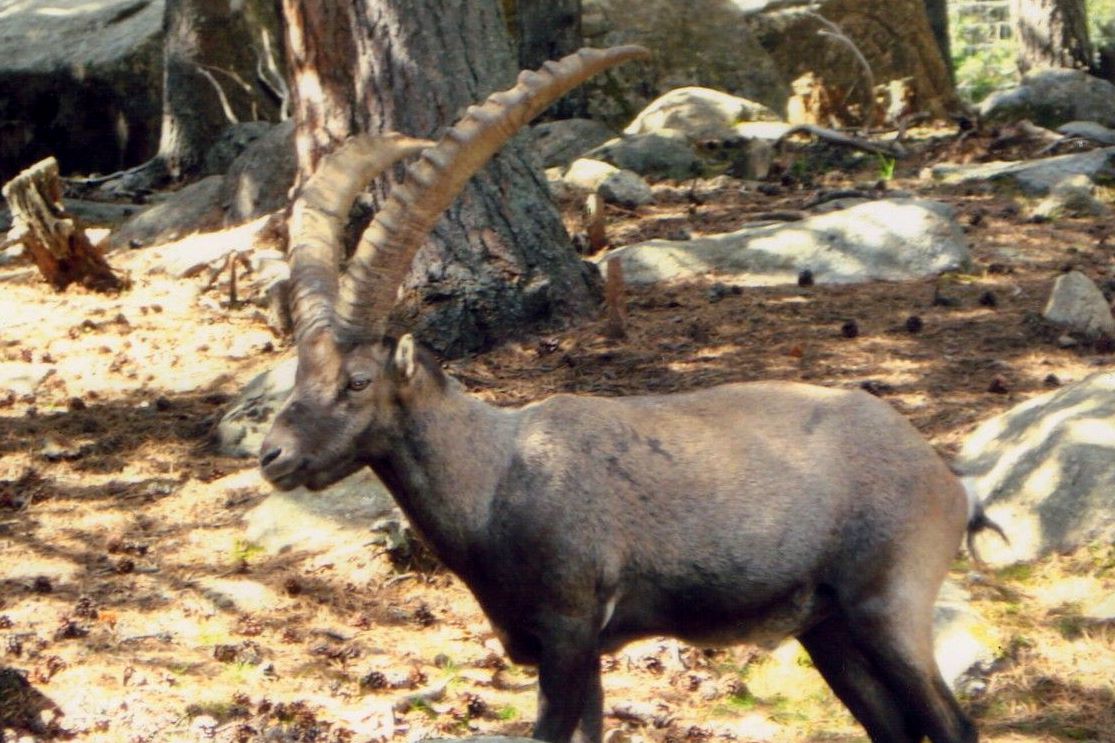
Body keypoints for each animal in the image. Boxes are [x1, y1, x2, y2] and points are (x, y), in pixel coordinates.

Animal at [260, 46, 985, 743]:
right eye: (299, 371)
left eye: (357, 381)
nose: (273, 455)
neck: (493, 474)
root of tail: (944, 479)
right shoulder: (575, 650)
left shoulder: (569, 630)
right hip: (826, 625)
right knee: (892, 726)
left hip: (888, 605)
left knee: (951, 725)